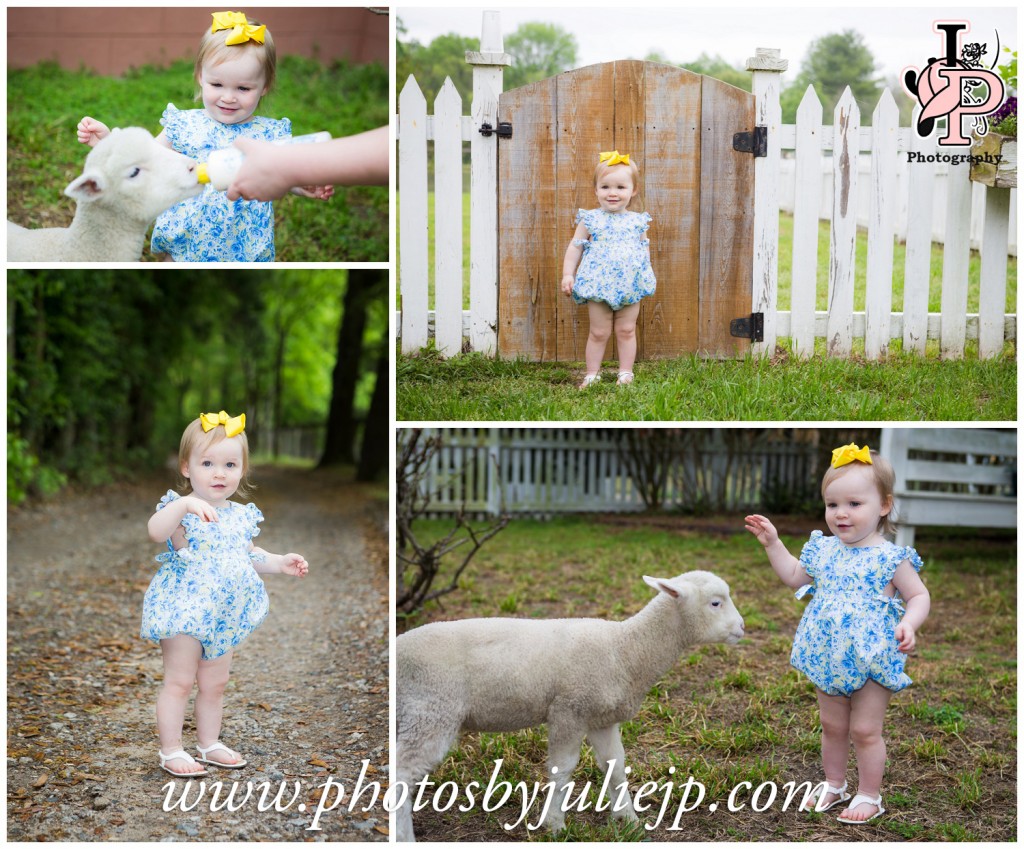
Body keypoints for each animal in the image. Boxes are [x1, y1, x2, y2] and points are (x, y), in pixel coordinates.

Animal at [393, 565, 745, 839]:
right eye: (716, 602)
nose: (742, 628)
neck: (626, 649)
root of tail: (399, 648)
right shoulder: (569, 710)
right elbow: (562, 770)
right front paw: (555, 825)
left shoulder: (601, 718)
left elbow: (615, 767)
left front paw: (629, 820)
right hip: (432, 709)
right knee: (402, 772)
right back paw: (405, 836)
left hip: (414, 711)